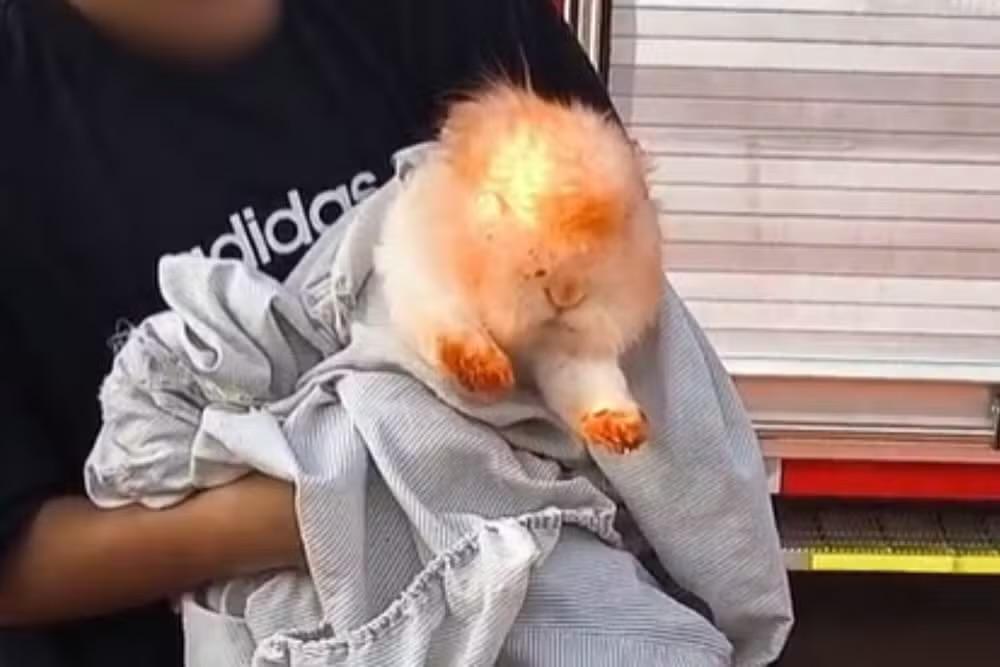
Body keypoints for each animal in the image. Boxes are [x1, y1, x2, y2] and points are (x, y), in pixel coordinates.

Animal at [373, 83, 663, 454]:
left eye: (626, 218)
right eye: (503, 199)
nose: (565, 294)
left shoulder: (573, 352)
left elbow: (594, 385)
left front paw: (623, 431)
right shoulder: (423, 287)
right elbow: (454, 331)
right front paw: (489, 374)